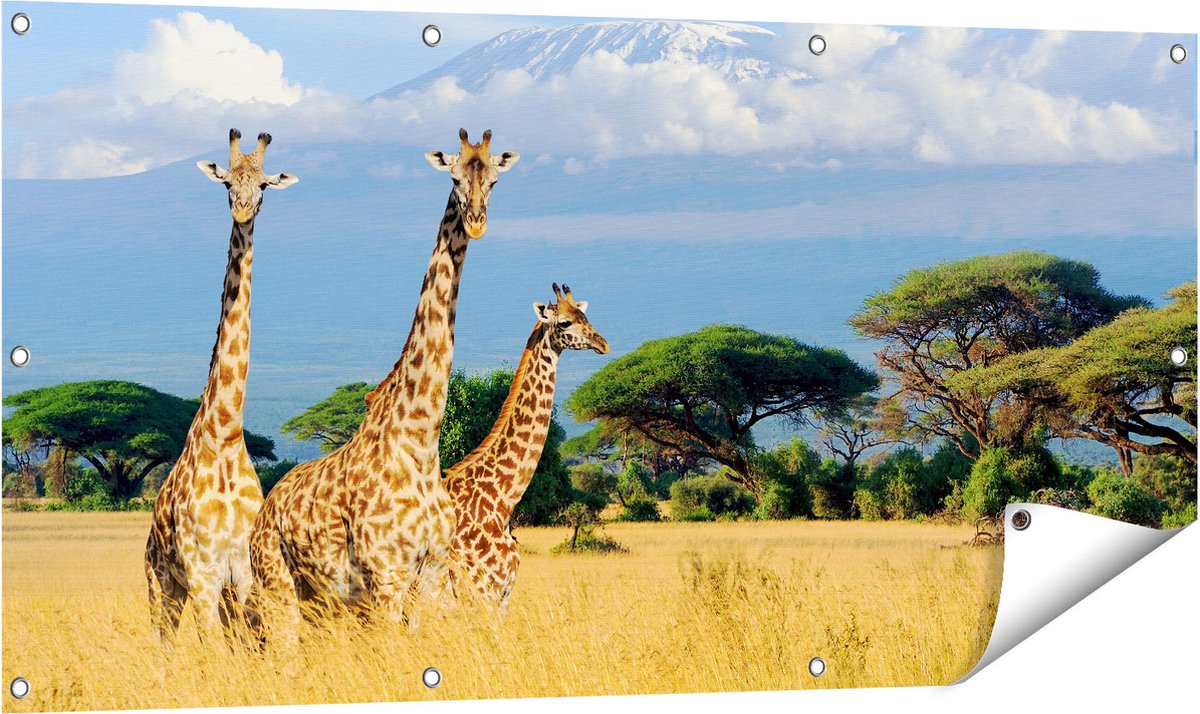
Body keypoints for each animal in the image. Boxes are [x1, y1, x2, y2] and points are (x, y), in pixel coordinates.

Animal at [145, 129, 298, 645]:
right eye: (227, 182)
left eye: (265, 185)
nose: (243, 209)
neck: (227, 433)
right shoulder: (203, 573)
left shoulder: (244, 573)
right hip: (161, 585)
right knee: (163, 646)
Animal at [250, 129, 519, 638]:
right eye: (454, 178)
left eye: (495, 179)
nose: (476, 223)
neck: (420, 443)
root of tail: (266, 507)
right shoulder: (387, 576)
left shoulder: (432, 574)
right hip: (278, 586)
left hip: (323, 601)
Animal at [440, 283, 608, 609]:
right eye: (564, 322)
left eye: (585, 316)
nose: (603, 343)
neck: (501, 500)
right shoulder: (481, 592)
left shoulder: (502, 596)